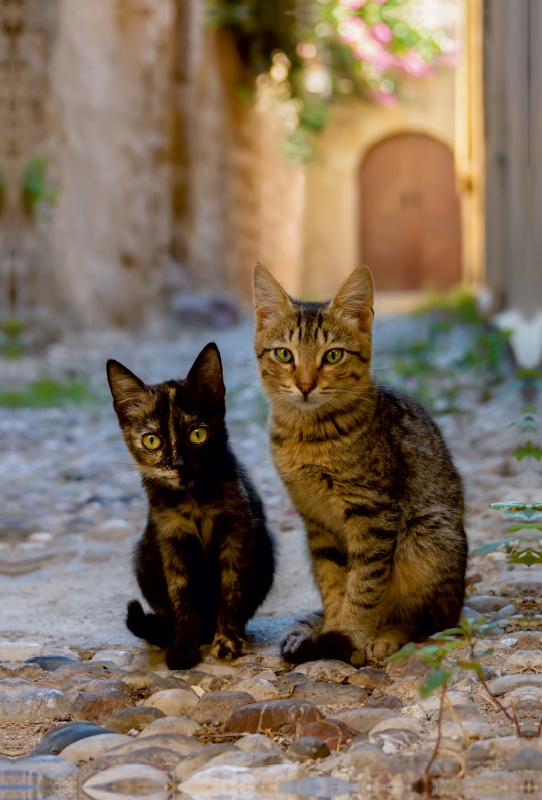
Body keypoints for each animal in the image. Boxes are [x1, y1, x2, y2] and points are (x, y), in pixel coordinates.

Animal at [106, 344, 276, 668]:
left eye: (198, 434)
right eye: (151, 440)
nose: (178, 464)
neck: (192, 500)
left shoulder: (239, 530)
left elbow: (232, 588)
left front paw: (227, 640)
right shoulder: (169, 538)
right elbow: (181, 594)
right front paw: (185, 646)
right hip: (144, 554)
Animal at [253, 266, 470, 664]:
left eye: (333, 355)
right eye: (284, 354)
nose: (305, 385)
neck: (307, 437)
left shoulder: (374, 514)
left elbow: (365, 585)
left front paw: (352, 635)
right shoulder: (316, 522)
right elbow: (333, 584)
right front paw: (335, 629)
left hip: (426, 539)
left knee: (427, 619)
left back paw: (385, 636)